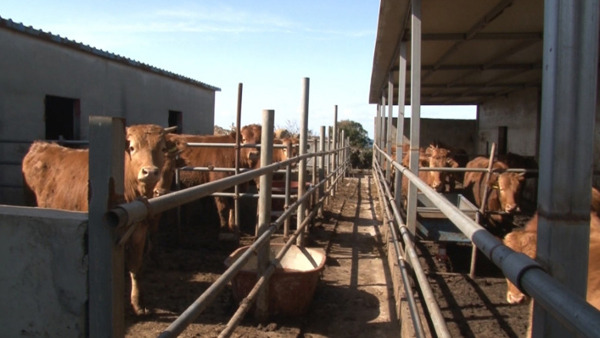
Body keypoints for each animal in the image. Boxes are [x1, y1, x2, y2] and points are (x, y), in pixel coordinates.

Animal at [21, 124, 180, 314]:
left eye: (162, 148)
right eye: (132, 147)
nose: (150, 172)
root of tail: (40, 146)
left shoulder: (139, 233)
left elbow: (136, 267)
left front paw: (138, 303)